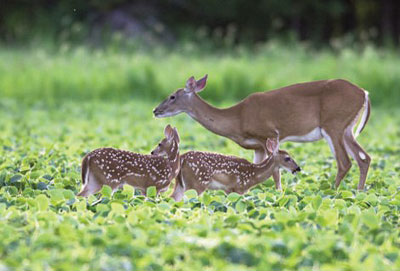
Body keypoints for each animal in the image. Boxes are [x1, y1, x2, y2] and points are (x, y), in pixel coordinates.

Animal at [153, 140, 300, 202]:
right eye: (287, 158)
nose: (298, 168)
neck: (253, 174)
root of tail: (181, 158)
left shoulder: (228, 190)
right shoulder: (239, 188)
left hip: (181, 184)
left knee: (173, 198)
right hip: (197, 183)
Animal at [154, 74, 372, 190]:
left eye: (172, 96)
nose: (156, 110)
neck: (238, 118)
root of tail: (364, 92)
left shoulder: (269, 134)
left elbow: (275, 172)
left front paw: (279, 192)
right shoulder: (256, 146)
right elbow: (256, 169)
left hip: (334, 125)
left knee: (345, 162)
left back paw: (333, 192)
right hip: (347, 129)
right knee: (364, 158)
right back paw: (359, 192)